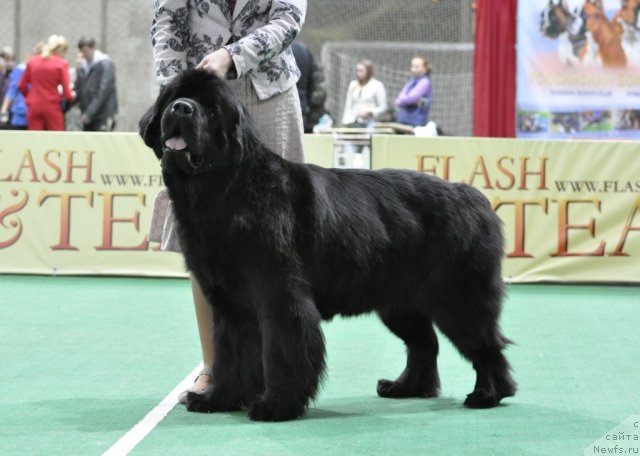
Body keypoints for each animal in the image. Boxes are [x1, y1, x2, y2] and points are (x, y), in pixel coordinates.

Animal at [140, 69, 516, 422]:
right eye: (174, 97)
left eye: (211, 108)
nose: (181, 108)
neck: (222, 190)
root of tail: (472, 196)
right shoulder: (229, 303)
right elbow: (230, 355)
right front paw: (218, 399)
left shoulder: (281, 295)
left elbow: (282, 350)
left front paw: (277, 405)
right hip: (399, 302)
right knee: (425, 344)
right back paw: (405, 387)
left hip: (460, 299)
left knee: (485, 345)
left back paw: (487, 394)